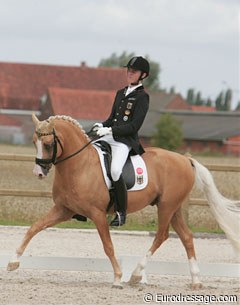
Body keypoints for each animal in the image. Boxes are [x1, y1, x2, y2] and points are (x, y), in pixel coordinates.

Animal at [7, 113, 240, 286]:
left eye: (47, 144)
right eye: (34, 142)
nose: (39, 172)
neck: (80, 165)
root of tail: (185, 159)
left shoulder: (97, 214)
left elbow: (108, 245)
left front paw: (118, 277)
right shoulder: (63, 209)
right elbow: (34, 228)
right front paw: (13, 262)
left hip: (166, 207)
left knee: (162, 235)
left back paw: (136, 275)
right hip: (173, 208)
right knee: (187, 237)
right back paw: (196, 281)